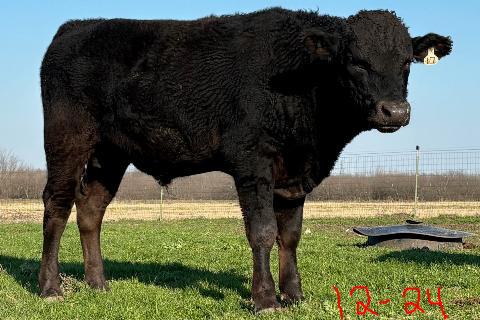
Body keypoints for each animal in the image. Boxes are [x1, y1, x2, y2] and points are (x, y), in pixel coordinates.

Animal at [39, 8, 452, 312]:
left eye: (406, 63)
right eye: (356, 62)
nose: (395, 111)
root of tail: (75, 28)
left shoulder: (295, 174)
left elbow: (291, 235)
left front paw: (294, 295)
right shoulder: (253, 164)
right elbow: (263, 231)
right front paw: (265, 299)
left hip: (109, 154)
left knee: (91, 209)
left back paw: (98, 284)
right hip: (67, 139)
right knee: (57, 205)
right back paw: (51, 287)